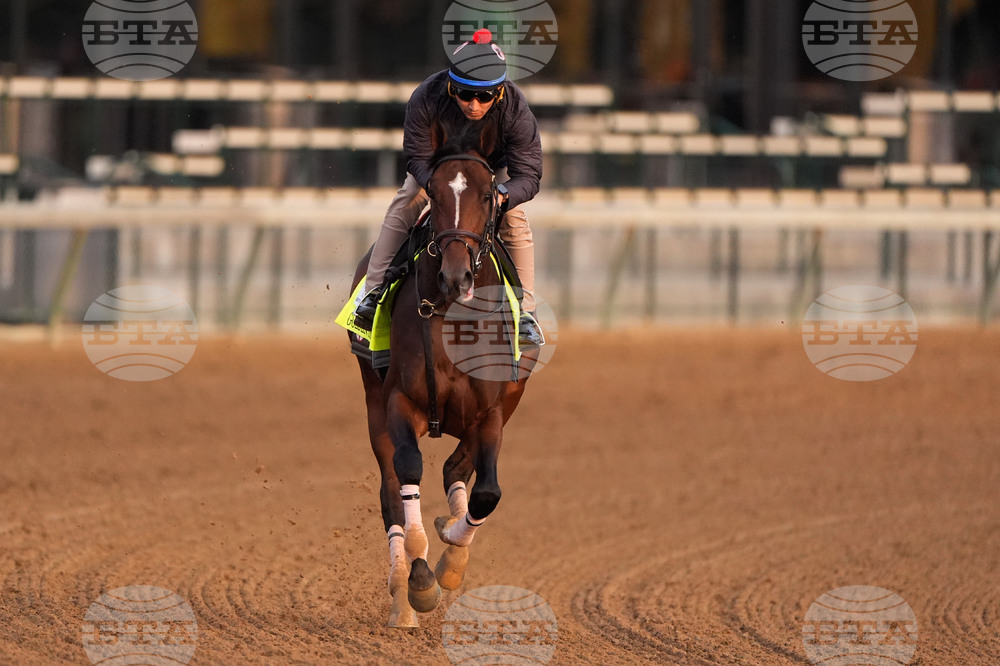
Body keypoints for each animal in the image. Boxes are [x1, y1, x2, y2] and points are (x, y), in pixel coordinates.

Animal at [347, 120, 537, 628]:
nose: (456, 276)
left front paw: (451, 556)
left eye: (489, 194)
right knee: (391, 493)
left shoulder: (491, 412)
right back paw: (402, 599)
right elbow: (408, 473)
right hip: (372, 401)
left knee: (458, 469)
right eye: (433, 190)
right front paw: (419, 582)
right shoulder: (400, 402)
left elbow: (486, 491)